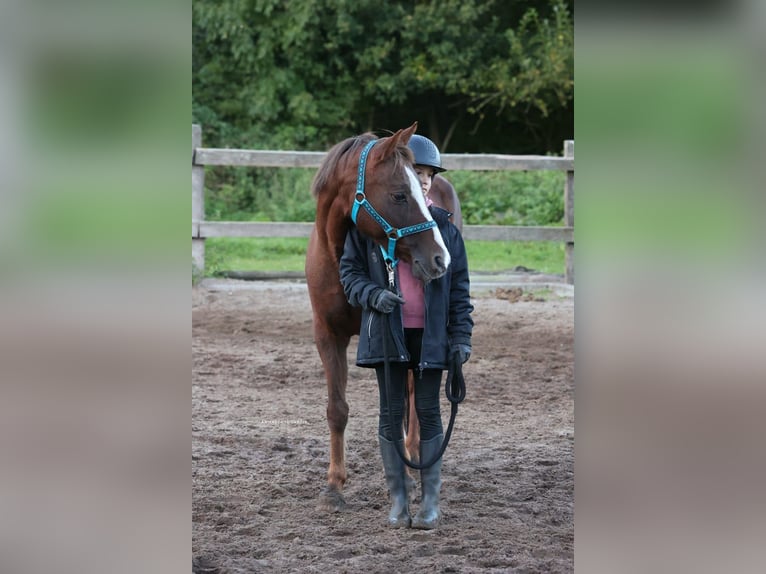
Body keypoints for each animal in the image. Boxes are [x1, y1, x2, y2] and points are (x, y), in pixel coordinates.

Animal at [304, 122, 452, 512]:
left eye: (419, 191)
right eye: (399, 195)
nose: (440, 258)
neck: (338, 257)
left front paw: (406, 475)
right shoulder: (327, 335)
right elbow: (337, 408)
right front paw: (334, 486)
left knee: (414, 396)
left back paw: (414, 459)